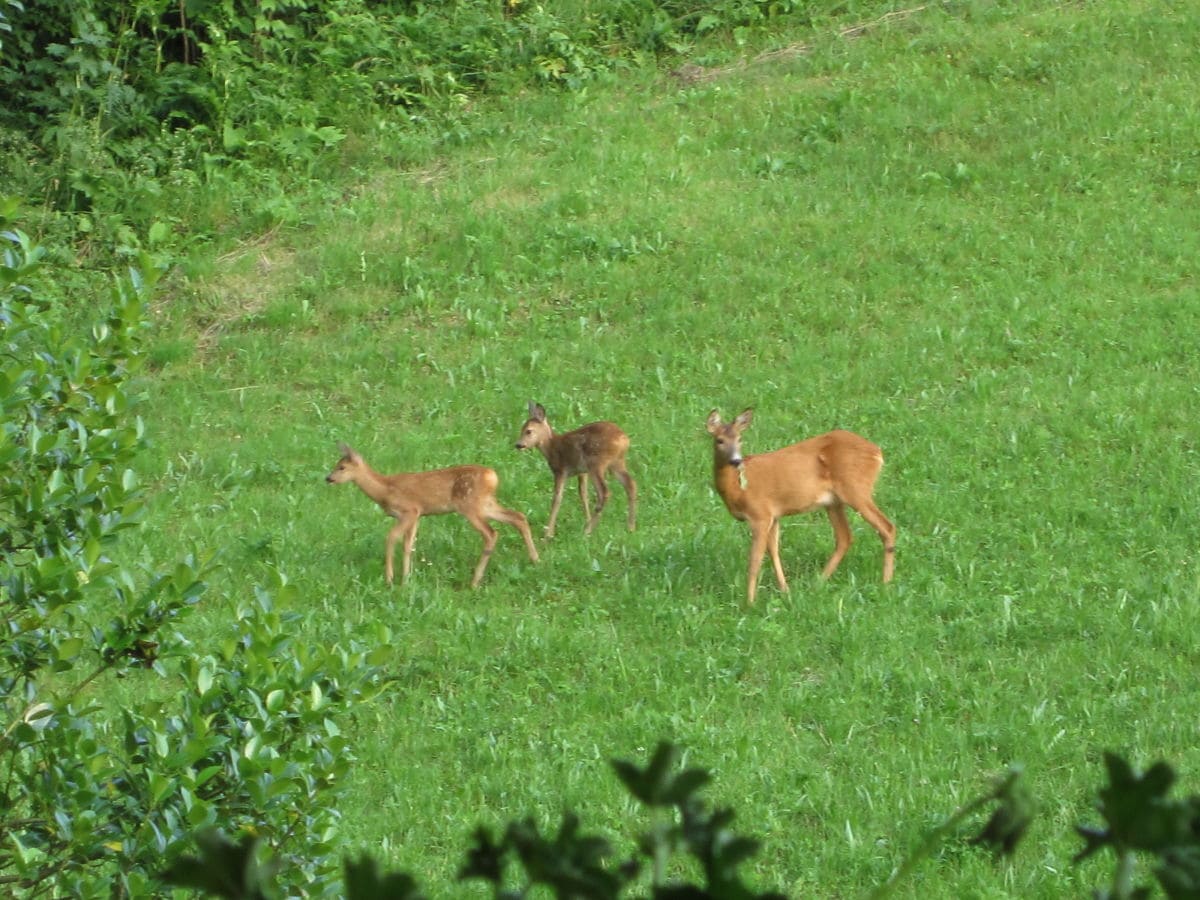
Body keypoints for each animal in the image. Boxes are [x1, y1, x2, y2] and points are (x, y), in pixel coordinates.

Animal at [324, 446, 540, 592]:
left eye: (342, 467)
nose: (328, 478)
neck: (384, 490)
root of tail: (492, 477)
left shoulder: (409, 510)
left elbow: (391, 538)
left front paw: (390, 579)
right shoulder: (418, 516)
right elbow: (408, 545)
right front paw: (406, 580)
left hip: (470, 505)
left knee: (491, 533)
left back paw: (474, 581)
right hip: (486, 504)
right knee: (518, 517)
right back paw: (535, 559)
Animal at [513, 405, 638, 540]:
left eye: (528, 431)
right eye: (521, 429)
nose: (518, 444)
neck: (551, 447)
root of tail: (624, 439)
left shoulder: (560, 470)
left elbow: (557, 498)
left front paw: (548, 534)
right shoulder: (582, 472)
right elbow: (583, 494)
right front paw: (587, 519)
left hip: (597, 463)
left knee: (605, 492)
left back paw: (587, 531)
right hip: (616, 463)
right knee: (631, 484)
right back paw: (630, 527)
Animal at [705, 410, 897, 607]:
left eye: (740, 439)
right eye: (719, 440)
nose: (736, 460)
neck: (737, 489)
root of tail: (877, 452)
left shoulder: (760, 514)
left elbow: (755, 560)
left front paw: (749, 603)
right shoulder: (774, 516)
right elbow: (773, 551)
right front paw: (785, 591)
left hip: (856, 489)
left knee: (886, 527)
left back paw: (885, 583)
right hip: (834, 502)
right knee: (845, 537)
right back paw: (818, 583)